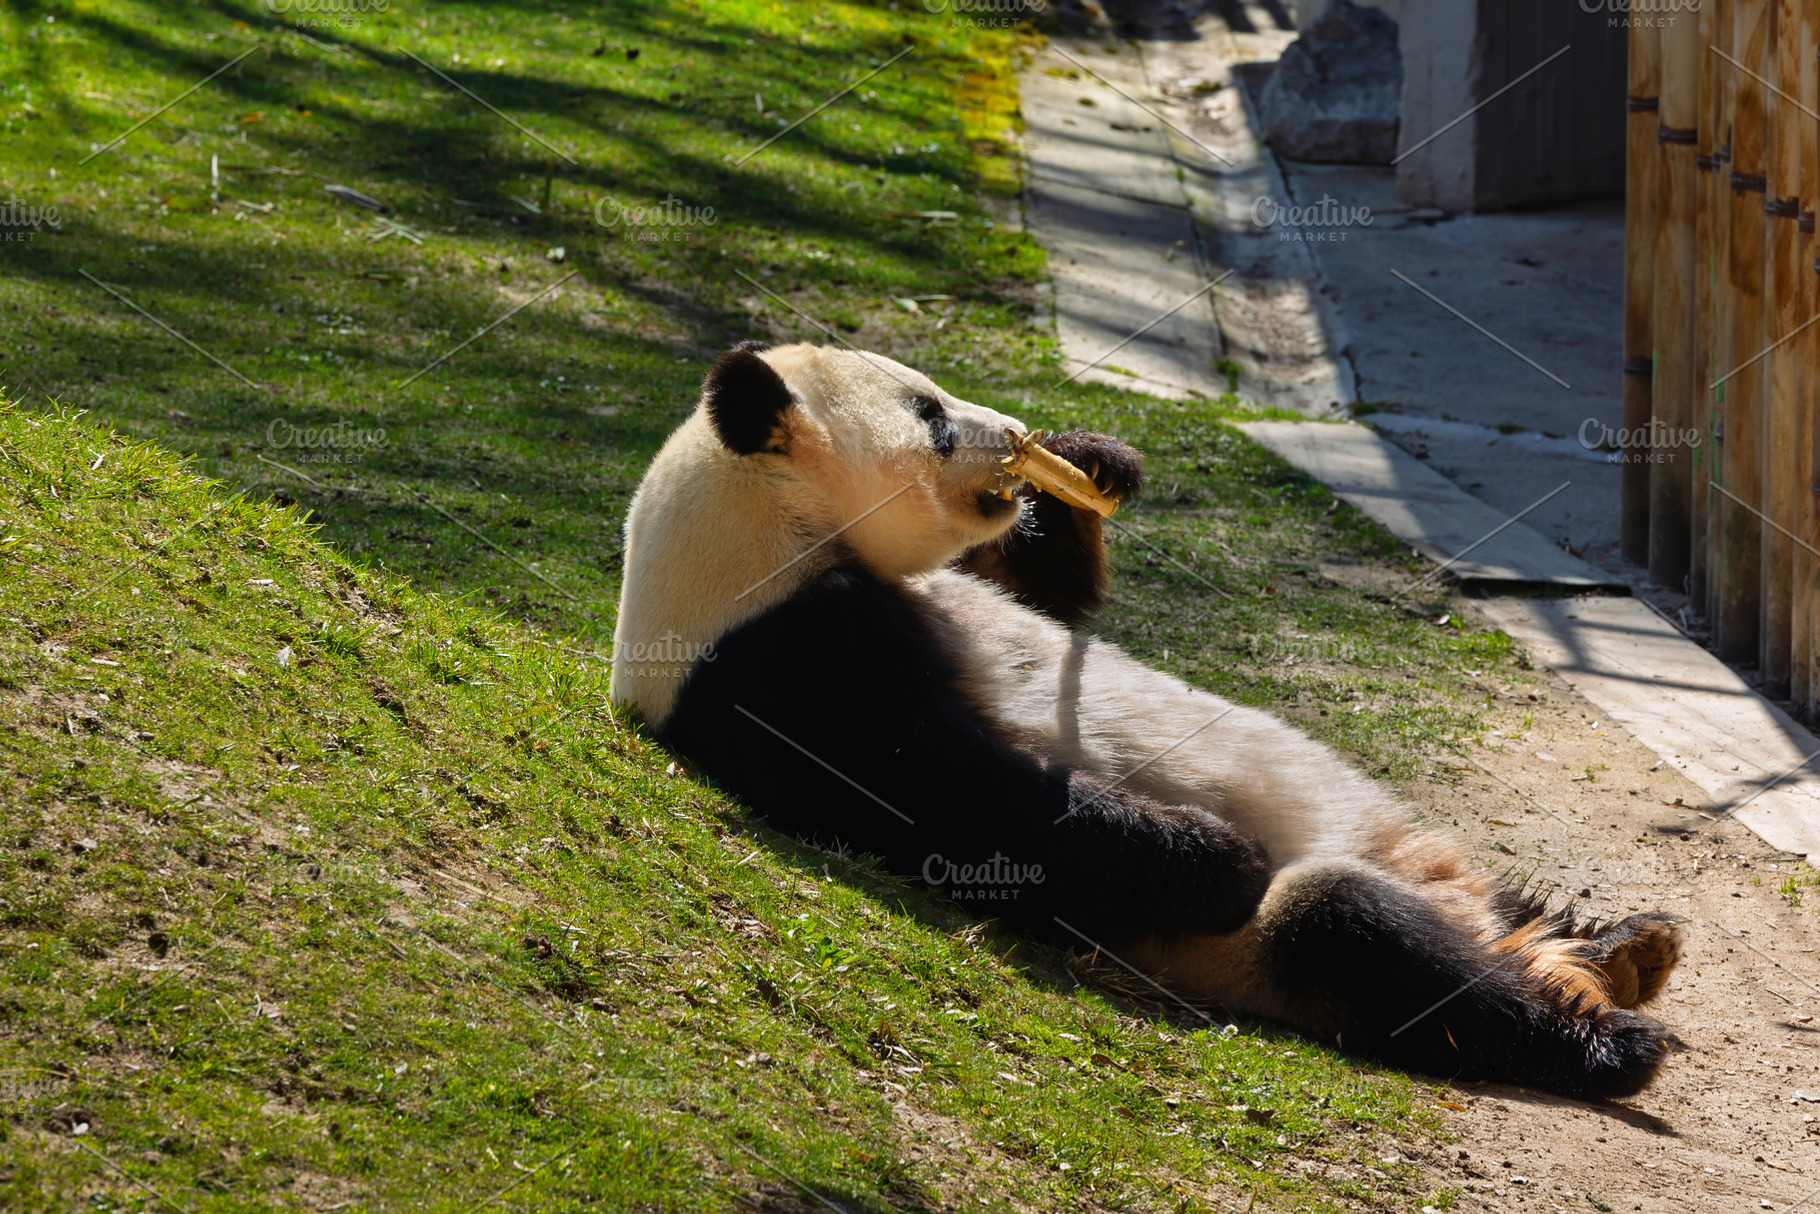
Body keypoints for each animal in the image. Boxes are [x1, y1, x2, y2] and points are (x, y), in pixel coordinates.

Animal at [609, 340, 1685, 1098]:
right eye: (931, 414)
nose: (1012, 432)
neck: (754, 524)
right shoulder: (779, 650)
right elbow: (956, 797)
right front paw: (1216, 856)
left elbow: (1042, 601)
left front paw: (1087, 465)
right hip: (1255, 951)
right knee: (1358, 934)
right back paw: (1604, 1033)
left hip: (1425, 860)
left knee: (1489, 914)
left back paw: (1620, 945)